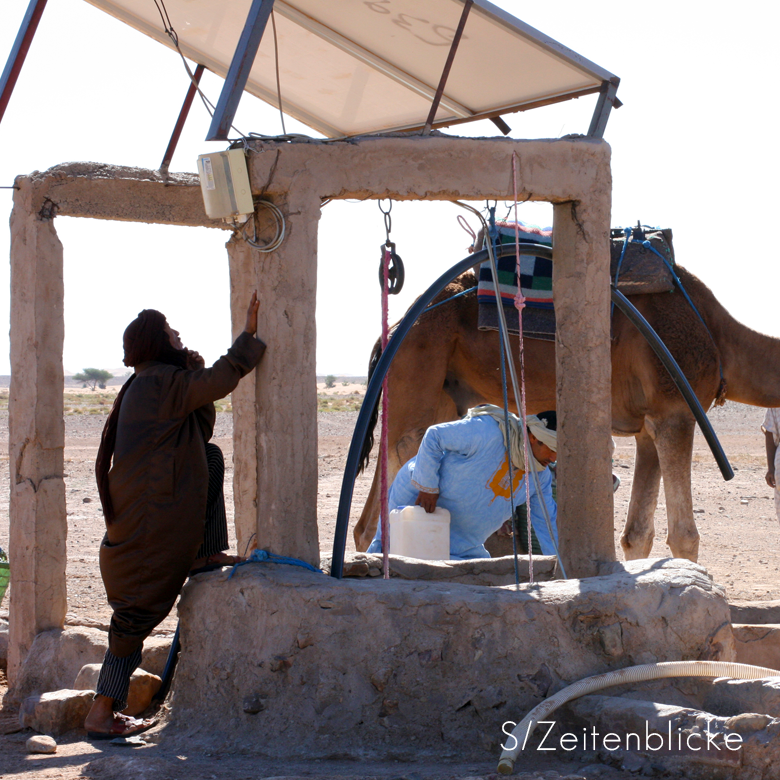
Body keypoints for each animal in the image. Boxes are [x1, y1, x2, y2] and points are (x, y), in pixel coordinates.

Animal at [352, 266, 780, 564]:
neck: (719, 338)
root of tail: (391, 331)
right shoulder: (675, 410)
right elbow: (684, 536)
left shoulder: (648, 427)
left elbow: (637, 535)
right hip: (416, 378)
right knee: (395, 475)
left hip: (432, 396)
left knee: (368, 516)